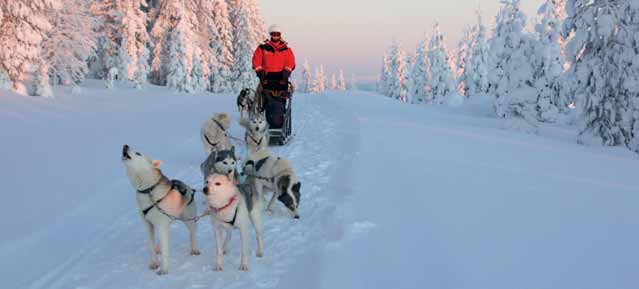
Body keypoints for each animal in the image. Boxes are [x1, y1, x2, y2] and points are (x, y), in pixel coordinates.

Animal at [120, 144, 200, 274]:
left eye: (138, 153)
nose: (125, 145)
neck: (148, 190)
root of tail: (188, 187)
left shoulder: (162, 226)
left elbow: (165, 251)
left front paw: (164, 270)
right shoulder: (148, 225)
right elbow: (151, 247)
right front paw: (154, 263)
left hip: (188, 220)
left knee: (192, 234)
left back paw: (194, 249)